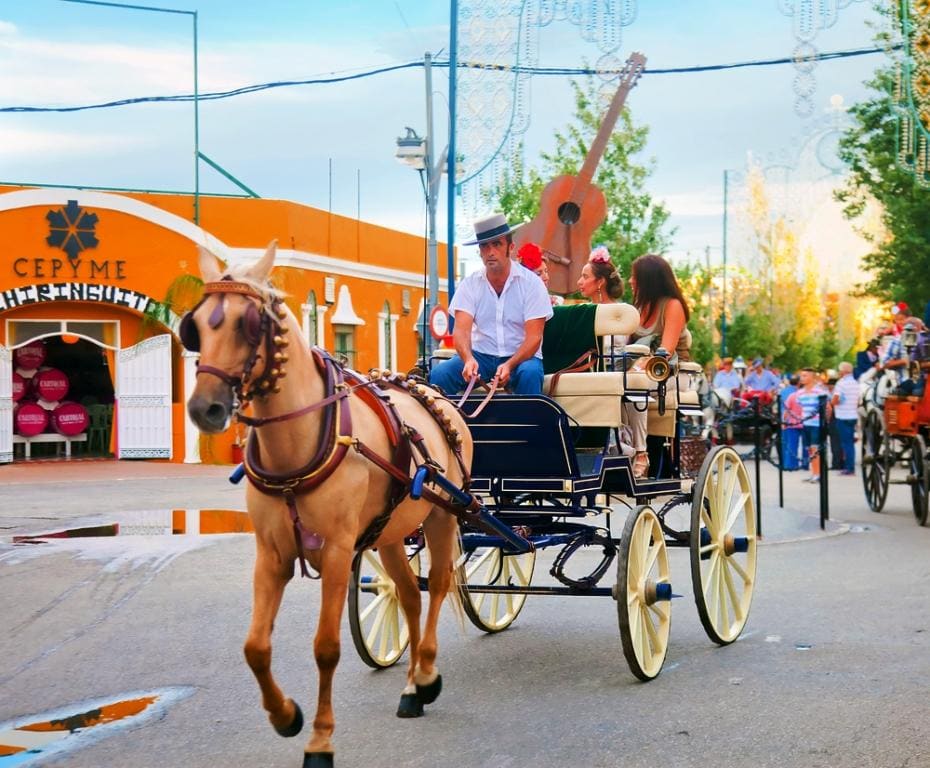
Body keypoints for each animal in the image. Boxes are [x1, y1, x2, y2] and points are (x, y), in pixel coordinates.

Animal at [184, 243, 472, 764]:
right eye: (195, 325)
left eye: (248, 324)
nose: (204, 408)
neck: (299, 442)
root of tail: (433, 393)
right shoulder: (271, 554)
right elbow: (255, 647)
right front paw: (285, 716)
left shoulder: (338, 552)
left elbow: (326, 648)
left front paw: (320, 739)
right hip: (391, 532)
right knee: (407, 592)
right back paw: (411, 689)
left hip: (442, 515)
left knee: (438, 585)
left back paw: (425, 674)